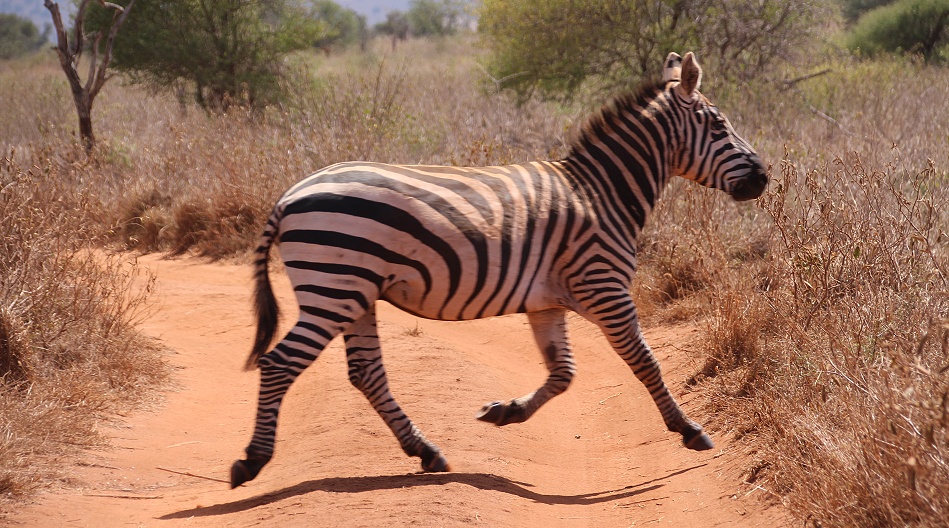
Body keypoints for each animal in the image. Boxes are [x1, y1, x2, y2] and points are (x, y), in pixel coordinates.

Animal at [230, 51, 768, 488]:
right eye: (718, 127)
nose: (764, 178)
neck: (600, 194)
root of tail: (288, 196)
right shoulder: (604, 287)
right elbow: (645, 361)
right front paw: (689, 429)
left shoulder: (548, 303)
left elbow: (564, 373)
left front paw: (506, 412)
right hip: (333, 288)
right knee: (280, 363)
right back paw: (252, 460)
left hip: (355, 293)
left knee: (366, 373)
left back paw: (426, 452)